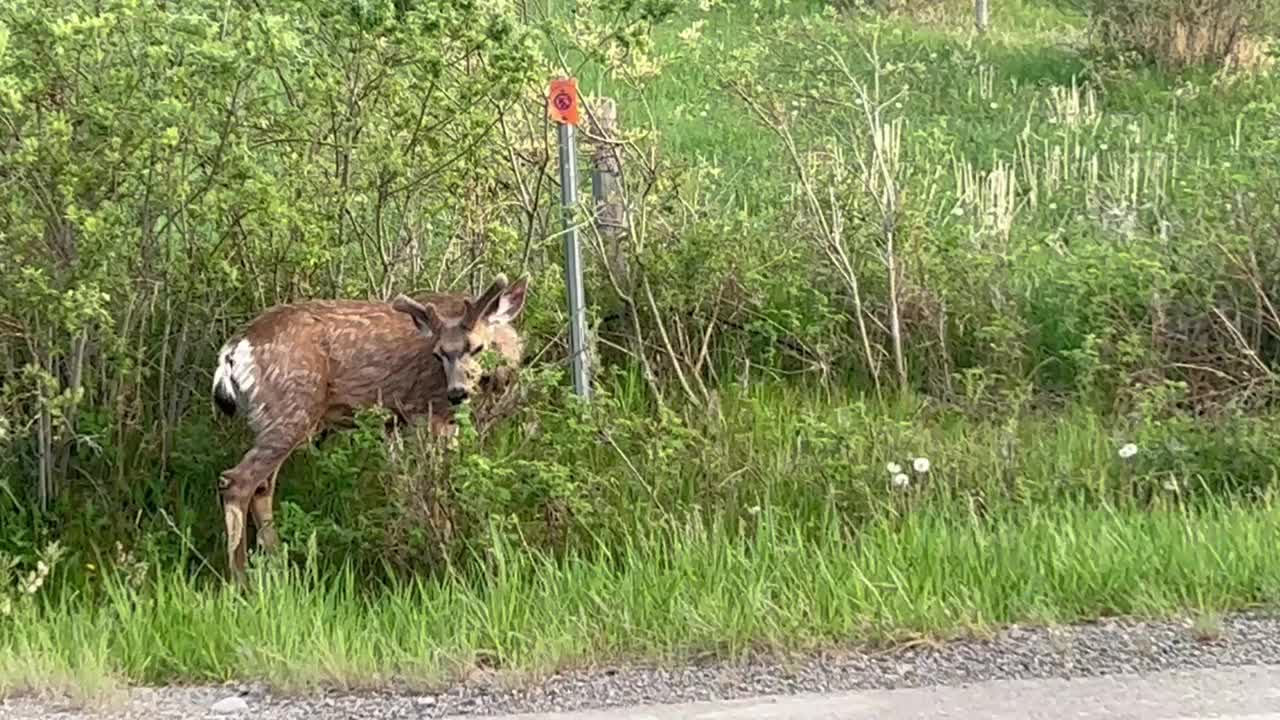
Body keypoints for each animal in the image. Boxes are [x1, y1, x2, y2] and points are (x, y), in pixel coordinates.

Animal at [211, 271, 529, 579]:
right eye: (438, 353)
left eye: (477, 347)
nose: (457, 392)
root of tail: (233, 349)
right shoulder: (429, 412)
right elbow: (437, 483)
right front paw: (444, 547)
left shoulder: (394, 423)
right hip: (292, 406)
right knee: (238, 481)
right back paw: (241, 579)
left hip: (274, 417)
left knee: (262, 487)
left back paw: (279, 565)